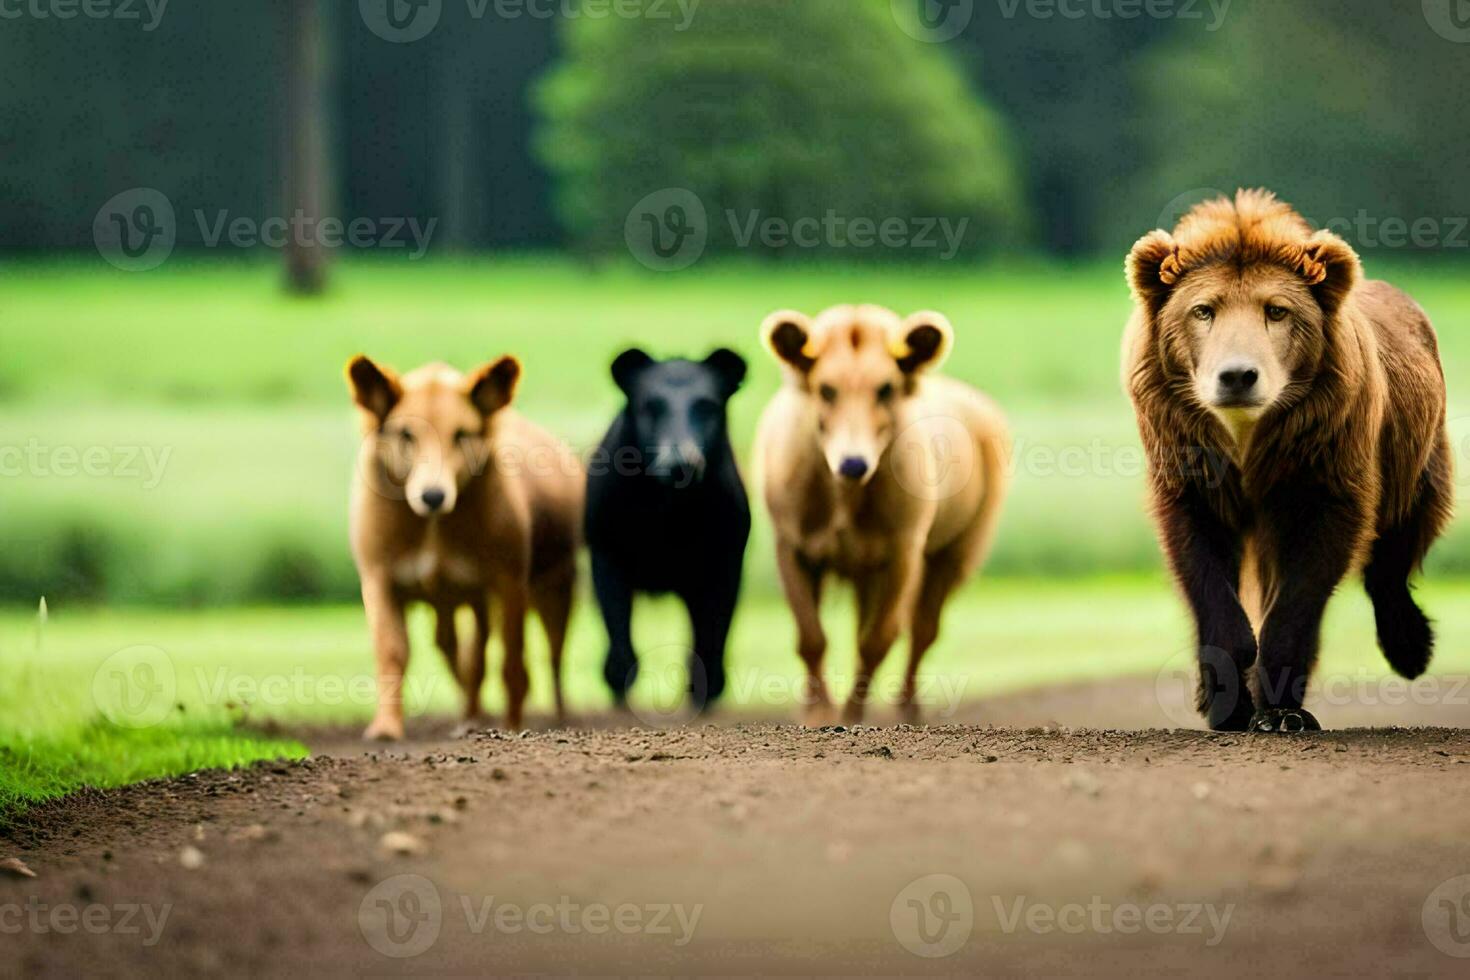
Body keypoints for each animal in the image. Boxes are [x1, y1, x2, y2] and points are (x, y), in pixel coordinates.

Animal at [1123, 188, 1446, 731]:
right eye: (1203, 310)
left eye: (1276, 310)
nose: (1237, 376)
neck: (1246, 435)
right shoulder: (1189, 459)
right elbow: (1201, 563)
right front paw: (1226, 691)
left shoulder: (1322, 461)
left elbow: (1306, 579)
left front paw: (1278, 705)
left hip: (1417, 452)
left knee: (1401, 542)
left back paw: (1409, 647)